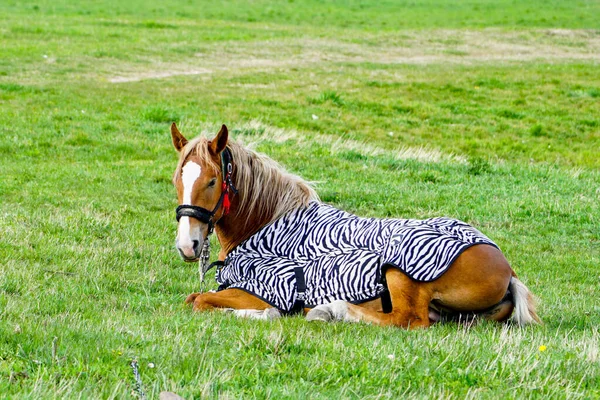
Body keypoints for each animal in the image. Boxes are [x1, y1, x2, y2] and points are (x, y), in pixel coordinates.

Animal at [169, 123, 540, 330]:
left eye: (213, 181)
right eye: (177, 179)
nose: (188, 245)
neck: (267, 224)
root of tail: (505, 266)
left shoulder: (266, 289)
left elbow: (199, 301)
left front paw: (268, 316)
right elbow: (196, 298)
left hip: (400, 274)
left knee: (408, 321)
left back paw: (333, 310)